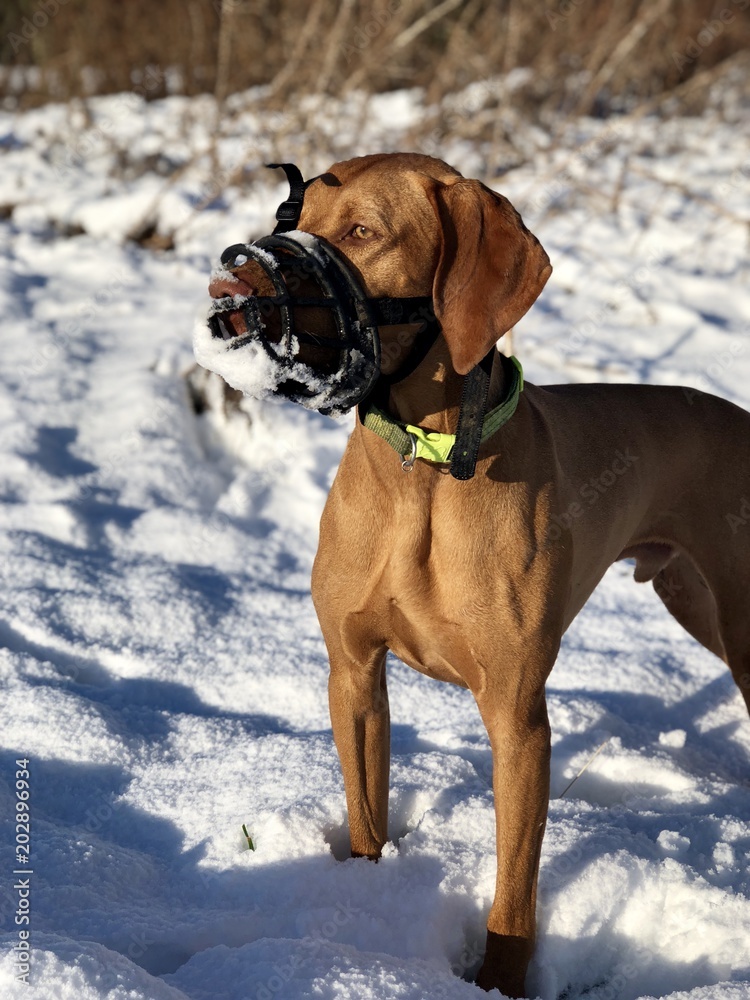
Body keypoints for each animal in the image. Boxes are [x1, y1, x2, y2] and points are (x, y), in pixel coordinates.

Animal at [207, 152, 750, 996]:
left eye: (362, 233)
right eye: (288, 223)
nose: (231, 287)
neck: (422, 474)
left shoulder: (519, 719)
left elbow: (515, 889)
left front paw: (499, 979)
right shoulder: (353, 672)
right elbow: (366, 815)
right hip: (692, 597)